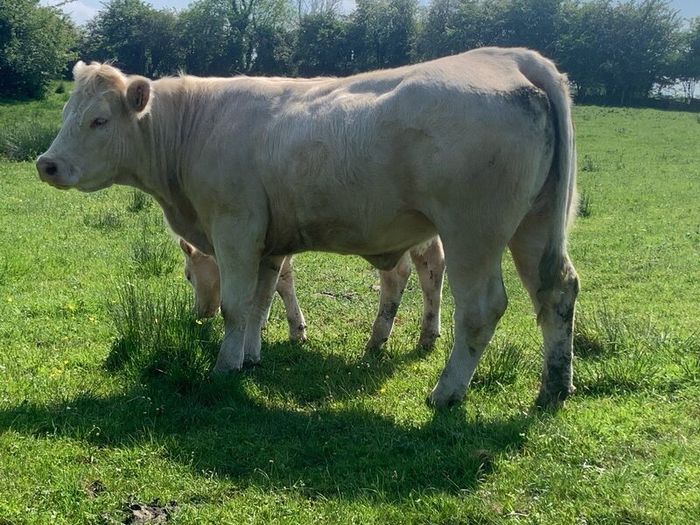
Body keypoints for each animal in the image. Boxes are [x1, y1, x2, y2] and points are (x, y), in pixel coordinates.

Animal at [179, 236, 445, 349]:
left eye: (188, 275)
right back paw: (428, 335)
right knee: (432, 265)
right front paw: (264, 321)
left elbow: (280, 282)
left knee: (398, 273)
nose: (199, 313)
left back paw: (377, 338)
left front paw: (295, 329)